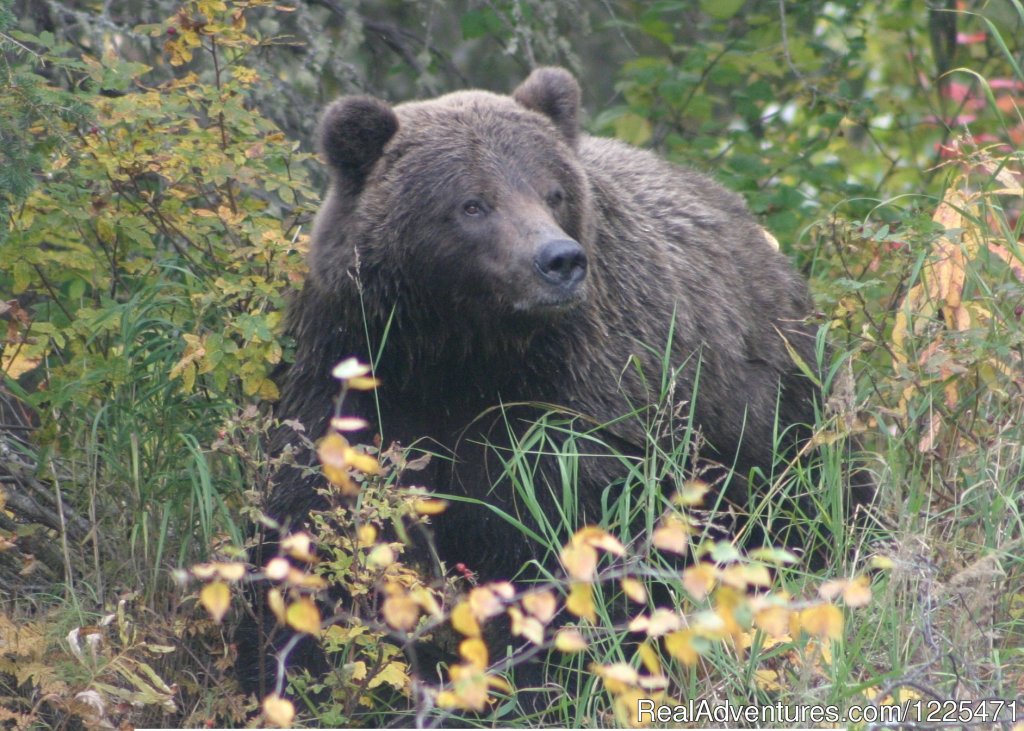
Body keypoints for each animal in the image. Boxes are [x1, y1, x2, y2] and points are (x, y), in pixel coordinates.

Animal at [239, 67, 872, 696]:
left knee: (815, 492)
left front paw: (551, 673)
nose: (559, 260)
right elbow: (322, 518)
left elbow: (564, 533)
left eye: (552, 192)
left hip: (769, 398)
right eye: (473, 203)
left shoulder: (568, 397)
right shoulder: (359, 369)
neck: (459, 351)